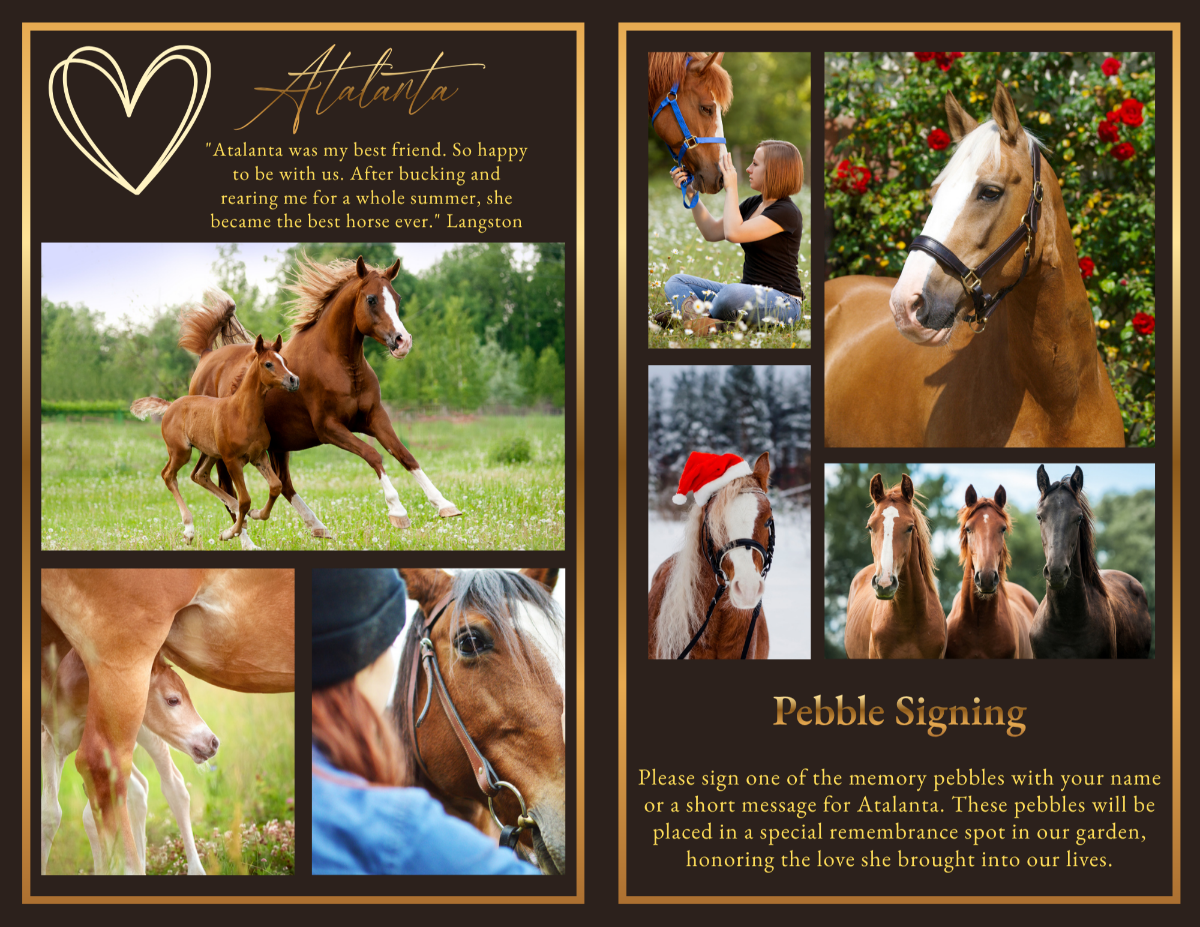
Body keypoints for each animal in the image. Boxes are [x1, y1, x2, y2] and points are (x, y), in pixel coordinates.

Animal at [41, 647, 218, 875]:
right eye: (173, 700)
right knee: (137, 788)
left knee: (173, 785)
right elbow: (52, 814)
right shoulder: (51, 742)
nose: (213, 742)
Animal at [132, 332, 299, 550]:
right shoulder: (231, 460)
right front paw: (229, 533)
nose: (293, 380)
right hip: (181, 452)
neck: (242, 413)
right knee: (168, 475)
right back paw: (189, 530)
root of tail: (171, 406)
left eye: (284, 361)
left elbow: (275, 486)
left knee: (199, 475)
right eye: (268, 364)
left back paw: (235, 512)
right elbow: (245, 499)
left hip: (210, 453)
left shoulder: (259, 456)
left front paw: (255, 514)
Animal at [182, 255, 460, 538]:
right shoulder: (329, 428)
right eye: (372, 299)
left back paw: (316, 526)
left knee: (283, 484)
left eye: (398, 298)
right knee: (228, 491)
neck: (339, 364)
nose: (403, 341)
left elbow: (405, 455)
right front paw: (398, 512)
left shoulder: (374, 418)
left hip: (278, 444)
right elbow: (373, 455)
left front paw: (445, 505)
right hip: (224, 452)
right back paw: (243, 536)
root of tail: (206, 356)